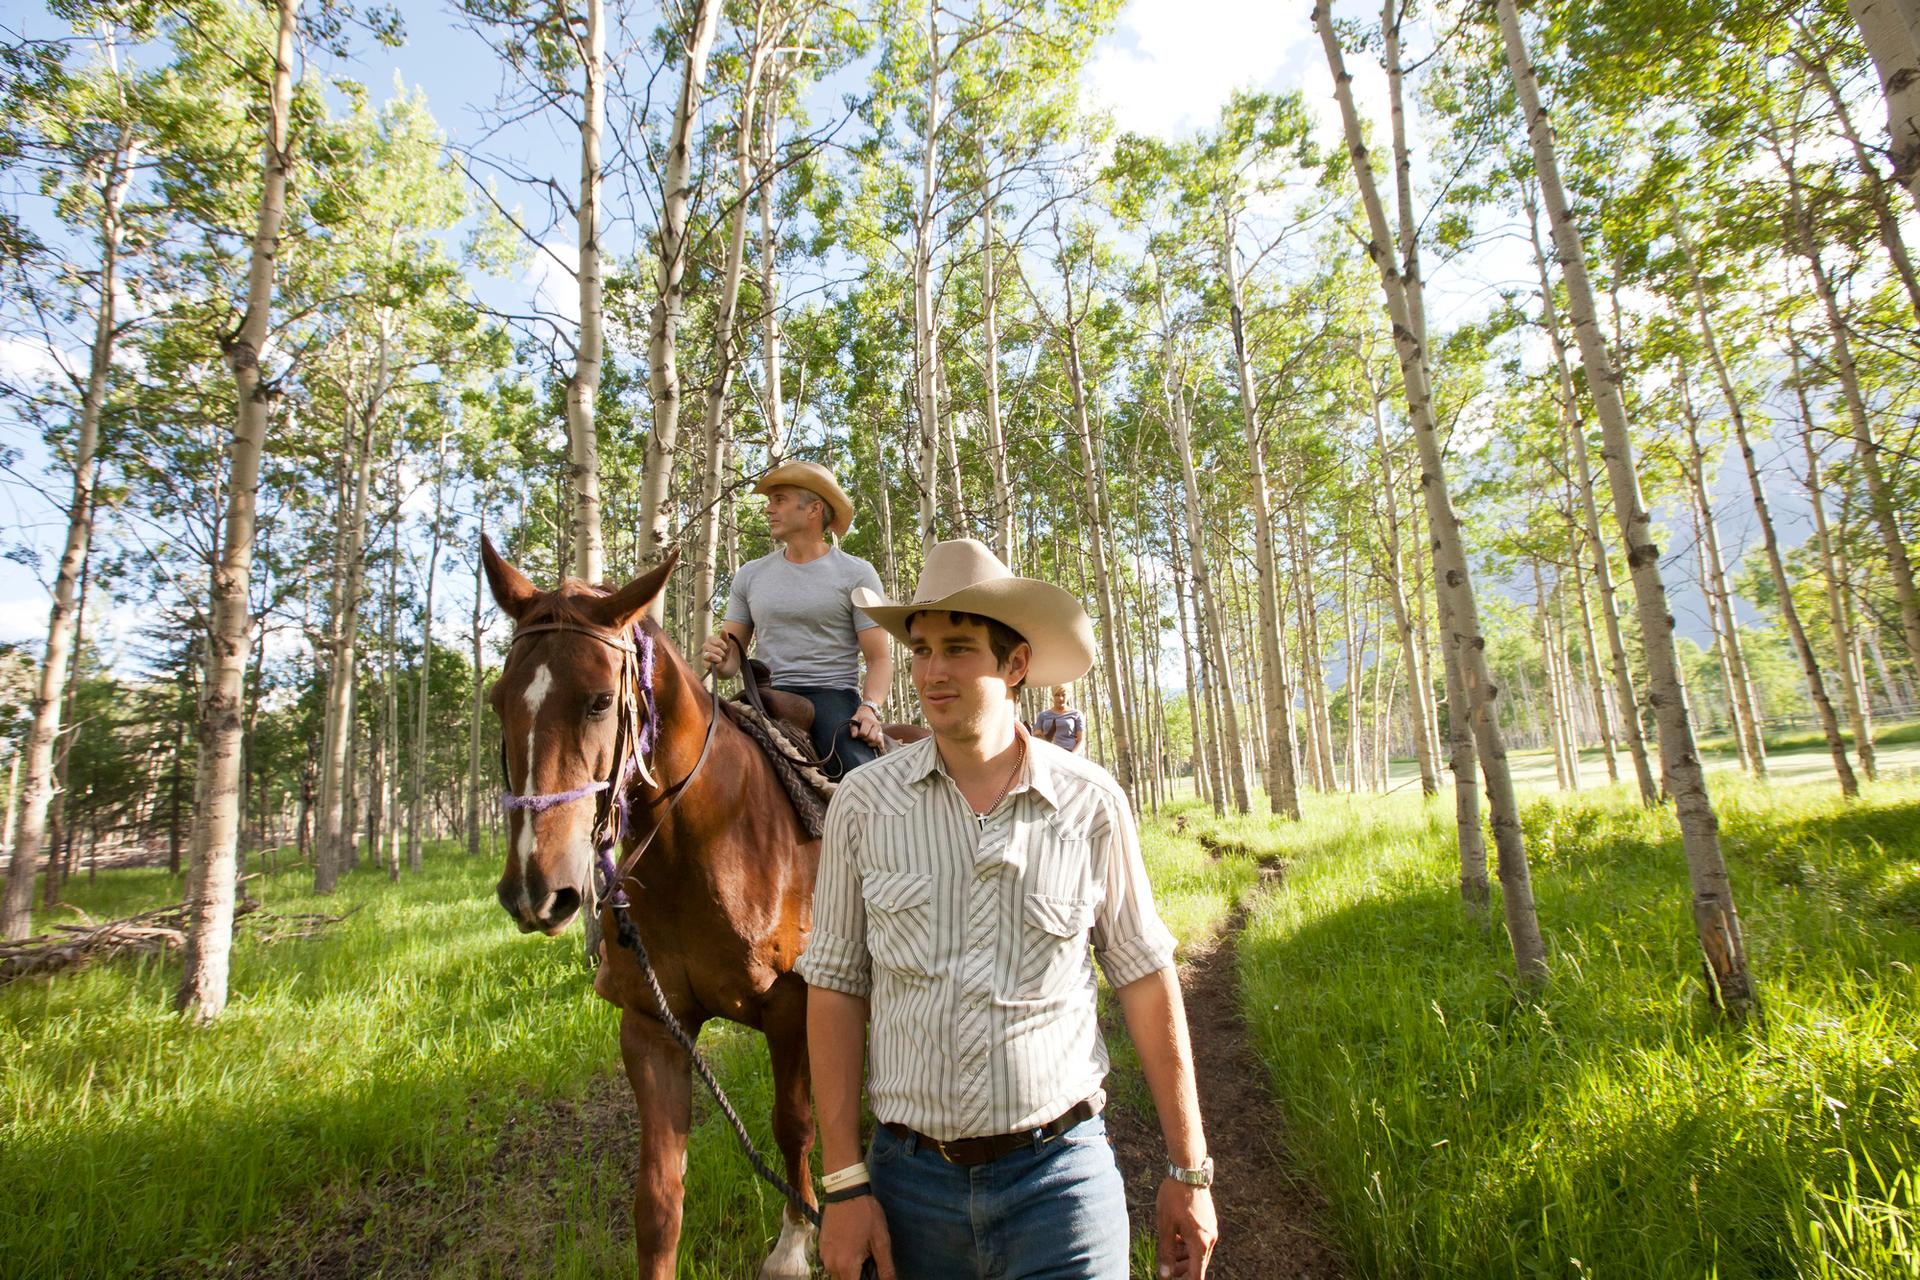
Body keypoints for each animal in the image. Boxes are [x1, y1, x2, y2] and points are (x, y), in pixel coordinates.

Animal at [483, 541, 821, 1280]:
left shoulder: (792, 1000)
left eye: (598, 701)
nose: (535, 891)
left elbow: (794, 1122)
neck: (696, 848)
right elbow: (658, 1200)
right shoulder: (650, 1022)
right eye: (497, 702)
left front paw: (794, 1244)